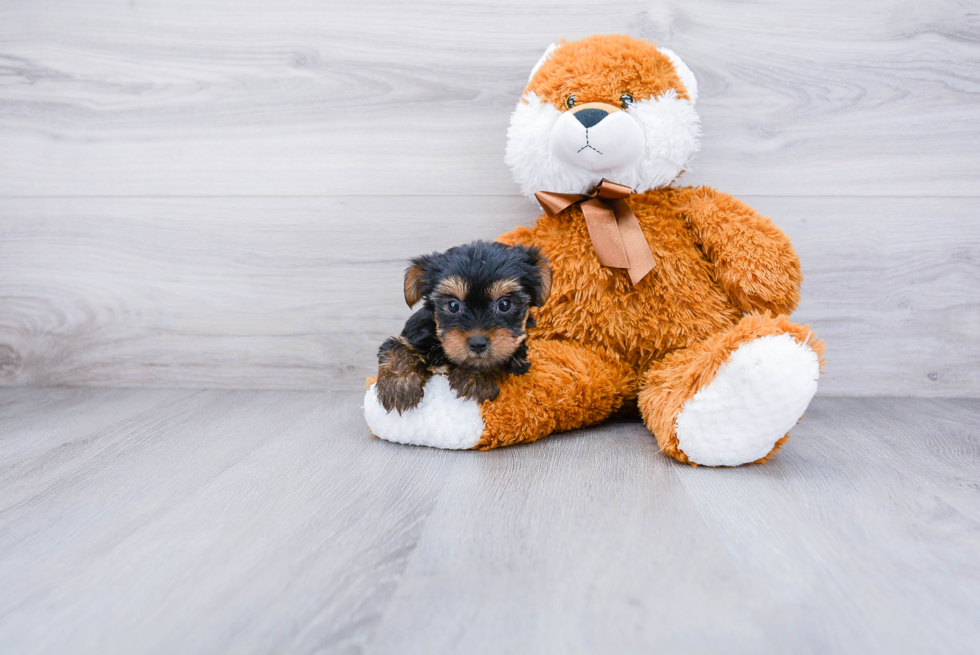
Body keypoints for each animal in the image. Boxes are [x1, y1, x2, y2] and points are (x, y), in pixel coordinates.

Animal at [376, 241, 552, 416]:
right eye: (453, 305)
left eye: (504, 304)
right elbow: (397, 346)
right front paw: (398, 386)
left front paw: (475, 377)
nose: (478, 343)